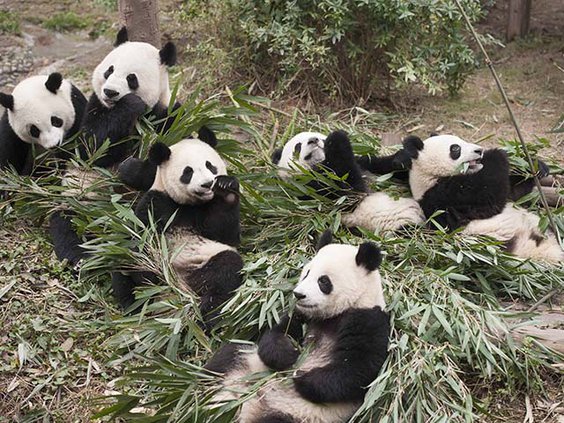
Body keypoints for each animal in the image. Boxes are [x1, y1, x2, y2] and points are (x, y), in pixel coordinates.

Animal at [110, 127, 242, 330]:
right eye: (188, 172)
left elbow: (225, 233)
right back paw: (138, 301)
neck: (190, 204)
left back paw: (205, 314)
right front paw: (146, 273)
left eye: (210, 166)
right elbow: (142, 236)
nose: (206, 184)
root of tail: (179, 285)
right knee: (125, 265)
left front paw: (225, 188)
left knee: (225, 271)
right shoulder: (157, 201)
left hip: (206, 260)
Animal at [205, 232, 390, 423]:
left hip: (296, 415)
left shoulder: (368, 320)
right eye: (306, 274)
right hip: (247, 361)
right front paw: (288, 355)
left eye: (323, 281)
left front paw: (301, 378)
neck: (334, 315)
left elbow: (357, 370)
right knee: (226, 357)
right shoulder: (302, 315)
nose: (299, 294)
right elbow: (276, 333)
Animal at [272, 131, 424, 234]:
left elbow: (383, 165)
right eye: (297, 146)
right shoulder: (310, 190)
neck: (320, 164)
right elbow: (349, 192)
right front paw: (337, 138)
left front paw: (402, 159)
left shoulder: (365, 165)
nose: (314, 140)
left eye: (322, 138)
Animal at [400, 134, 564, 264]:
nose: (479, 151)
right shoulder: (444, 198)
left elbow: (516, 193)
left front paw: (535, 166)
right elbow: (488, 197)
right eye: (455, 149)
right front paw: (498, 153)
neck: (429, 178)